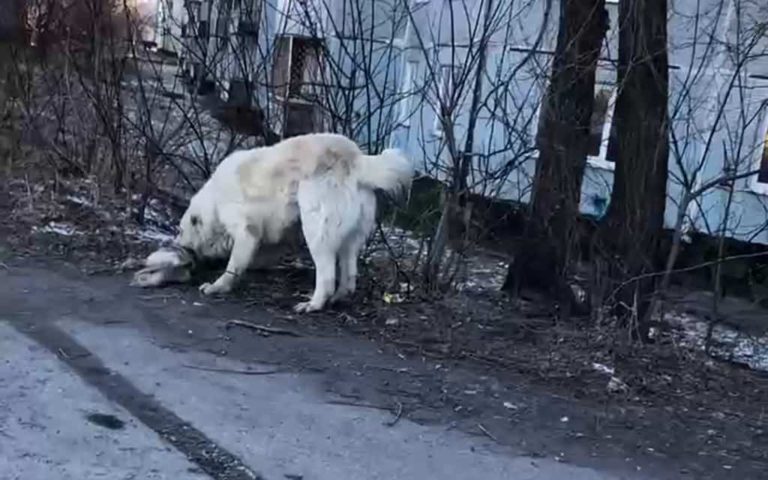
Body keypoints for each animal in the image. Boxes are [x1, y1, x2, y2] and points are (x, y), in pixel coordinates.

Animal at [164, 132, 414, 312]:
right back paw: (340, 297)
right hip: (352, 232)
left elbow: (235, 263)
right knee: (349, 268)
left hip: (315, 224)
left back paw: (313, 304)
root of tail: (355, 159)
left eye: (181, 230)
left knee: (326, 273)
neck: (215, 200)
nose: (175, 245)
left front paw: (217, 286)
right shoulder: (275, 234)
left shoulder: (246, 228)